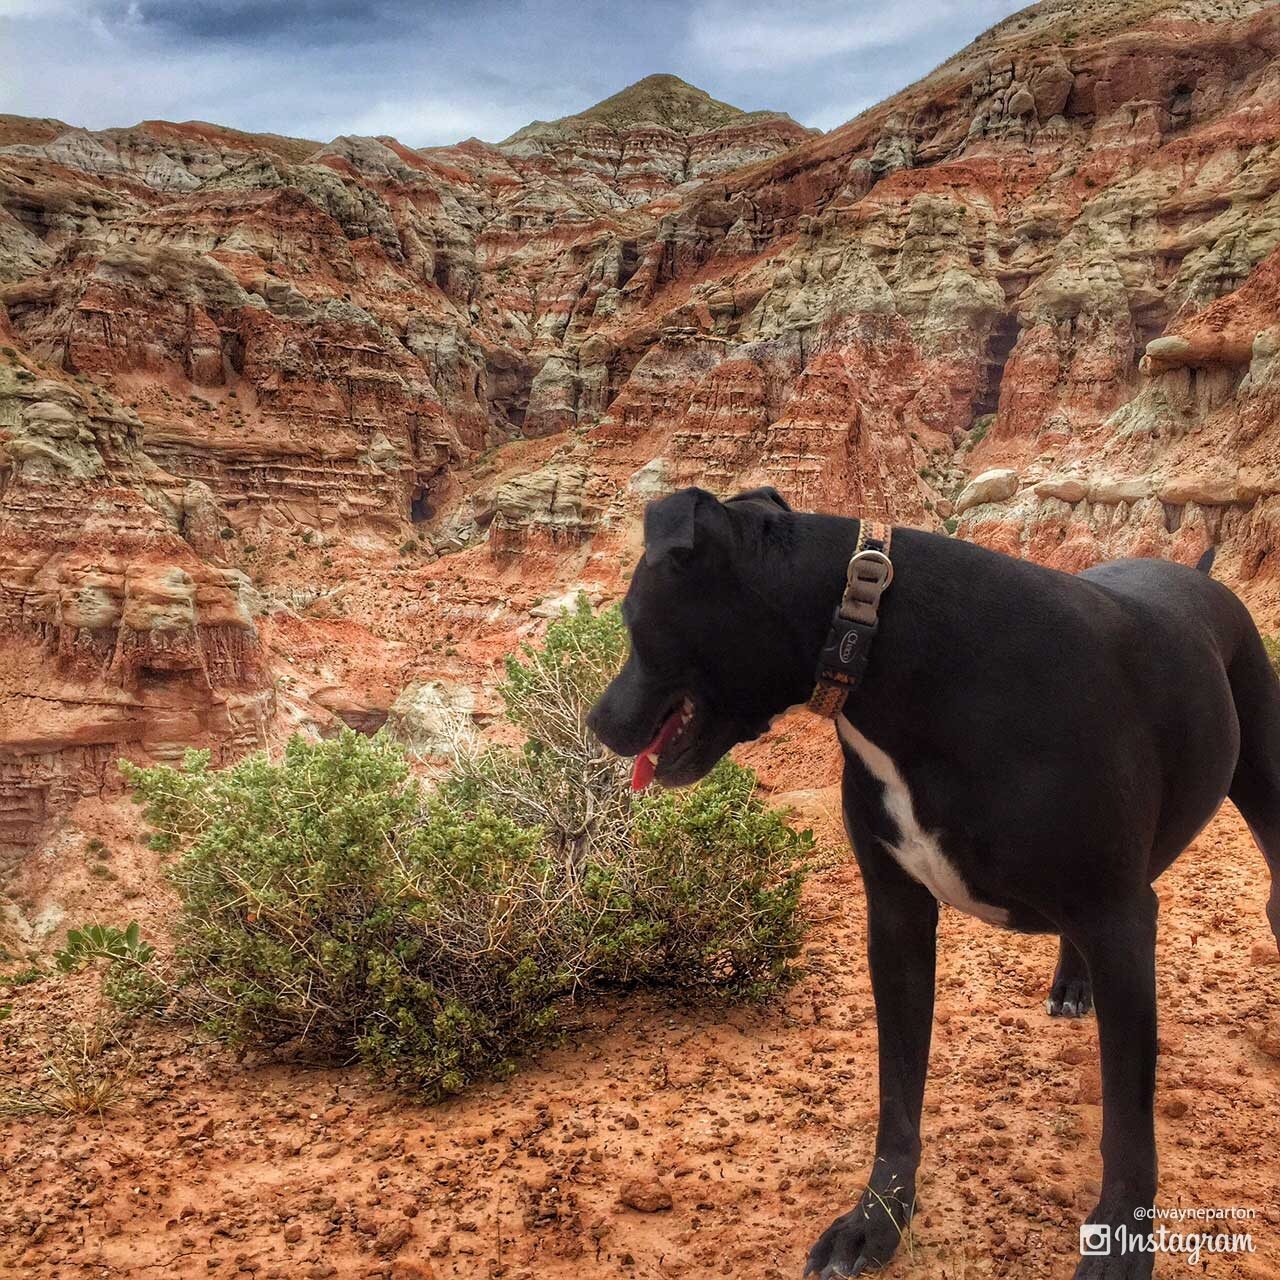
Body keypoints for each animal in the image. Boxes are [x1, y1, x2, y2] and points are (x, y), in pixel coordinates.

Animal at [586, 486, 1280, 1280]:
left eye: (631, 622)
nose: (595, 722)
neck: (887, 646)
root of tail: (1197, 573)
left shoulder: (1120, 918)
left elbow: (1128, 1123)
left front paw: (1120, 1245)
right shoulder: (897, 918)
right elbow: (898, 1095)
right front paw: (874, 1221)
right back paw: (1073, 983)